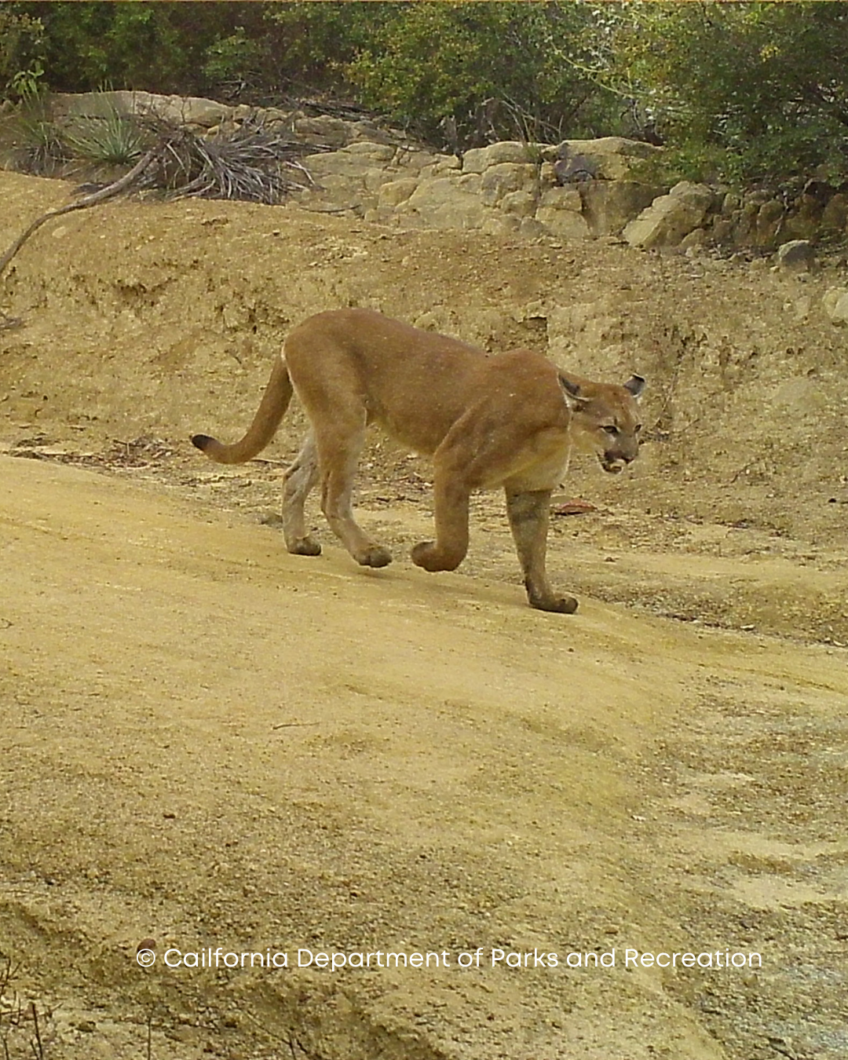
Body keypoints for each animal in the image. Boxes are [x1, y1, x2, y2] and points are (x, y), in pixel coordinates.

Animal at [192, 308, 644, 613]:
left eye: (637, 428)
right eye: (610, 427)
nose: (629, 456)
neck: (559, 427)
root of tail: (302, 325)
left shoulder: (531, 491)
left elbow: (534, 550)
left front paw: (546, 598)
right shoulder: (454, 464)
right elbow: (456, 542)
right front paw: (424, 555)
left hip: (333, 420)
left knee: (294, 476)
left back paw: (300, 542)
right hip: (345, 419)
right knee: (332, 495)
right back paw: (369, 552)